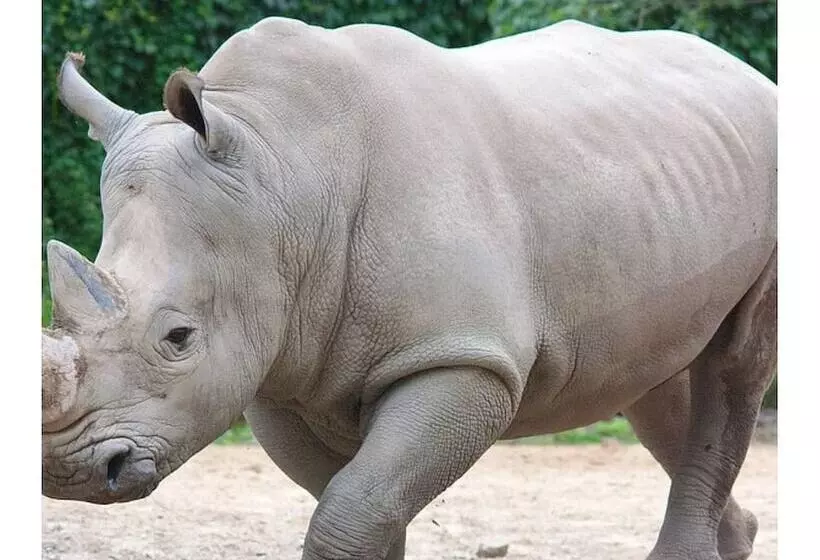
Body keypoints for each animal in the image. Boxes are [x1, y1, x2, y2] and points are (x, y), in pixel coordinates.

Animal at [42, 17, 776, 560]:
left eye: (178, 337)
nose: (70, 472)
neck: (283, 174)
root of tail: (749, 73)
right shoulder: (277, 367)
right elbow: (358, 504)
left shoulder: (462, 357)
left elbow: (352, 507)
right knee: (652, 381)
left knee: (734, 368)